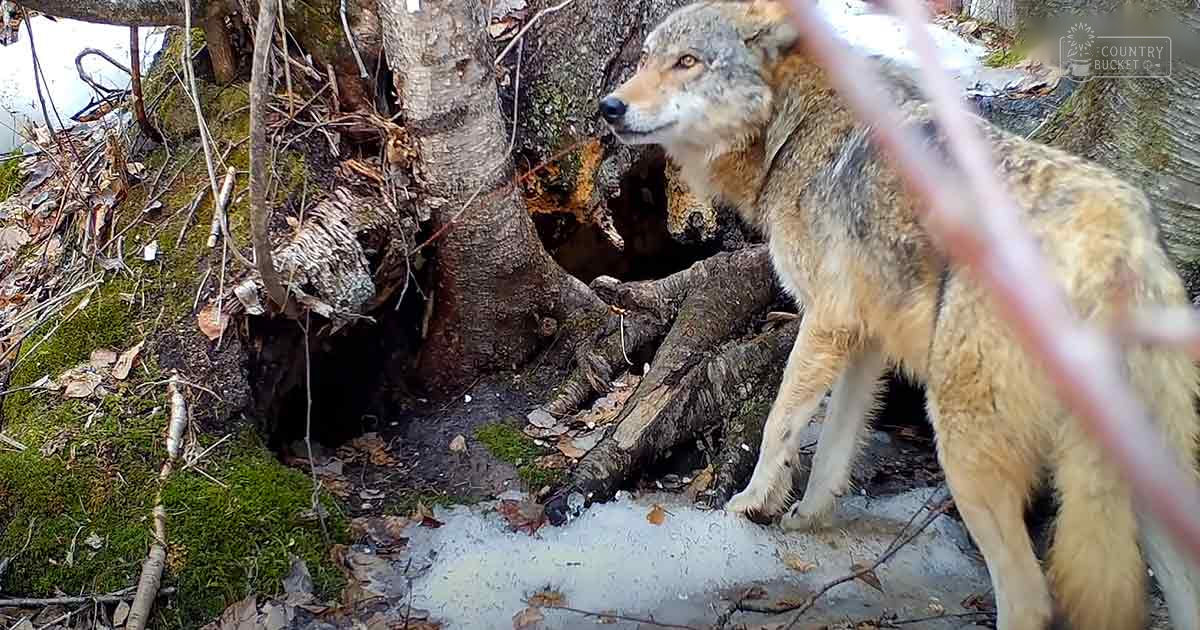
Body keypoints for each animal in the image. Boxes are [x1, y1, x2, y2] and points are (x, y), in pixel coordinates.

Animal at [596, 2, 1200, 629]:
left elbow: (778, 424)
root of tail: (1111, 236)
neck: (794, 128)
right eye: (646, 58)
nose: (608, 106)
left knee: (1029, 595)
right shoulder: (865, 340)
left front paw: (749, 504)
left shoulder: (825, 321)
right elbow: (836, 443)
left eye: (687, 62)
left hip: (964, 445)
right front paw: (807, 516)